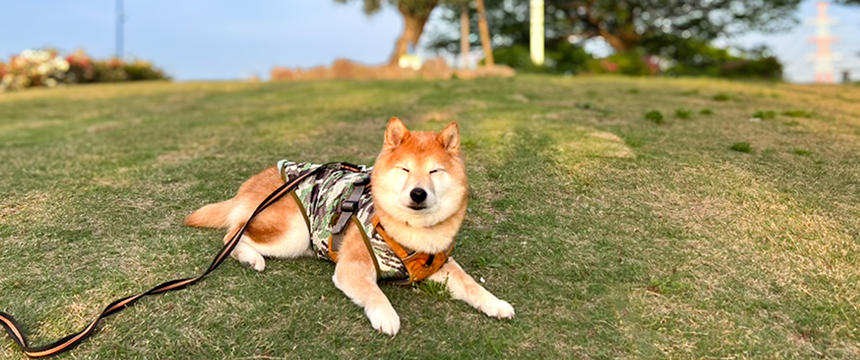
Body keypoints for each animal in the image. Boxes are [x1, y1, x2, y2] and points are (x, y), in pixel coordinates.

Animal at [185, 117, 512, 334]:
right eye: (405, 169)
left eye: (435, 171)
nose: (418, 193)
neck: (412, 232)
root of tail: (253, 183)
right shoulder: (352, 267)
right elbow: (374, 292)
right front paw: (386, 315)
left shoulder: (437, 264)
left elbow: (470, 284)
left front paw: (495, 303)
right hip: (292, 233)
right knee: (232, 233)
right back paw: (251, 258)